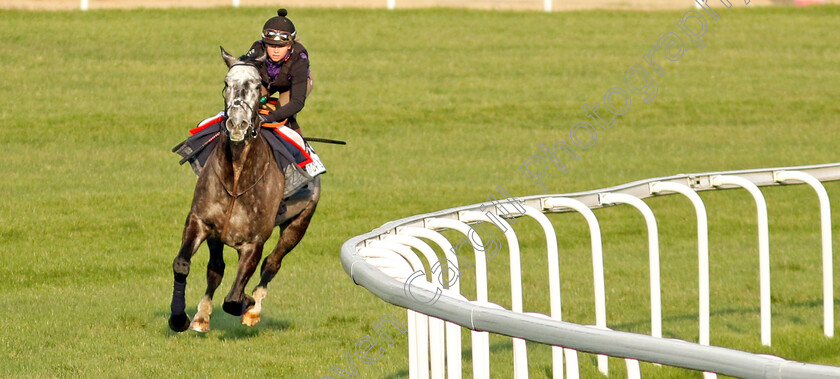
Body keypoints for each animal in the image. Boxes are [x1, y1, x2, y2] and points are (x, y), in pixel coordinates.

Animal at [169, 47, 320, 332]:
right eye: (227, 83)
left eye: (257, 85)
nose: (237, 124)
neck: (237, 176)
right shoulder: (201, 222)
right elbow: (183, 264)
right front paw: (179, 318)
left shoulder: (254, 243)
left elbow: (233, 299)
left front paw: (248, 303)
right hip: (217, 237)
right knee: (215, 270)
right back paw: (202, 316)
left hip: (299, 223)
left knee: (272, 264)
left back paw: (253, 310)